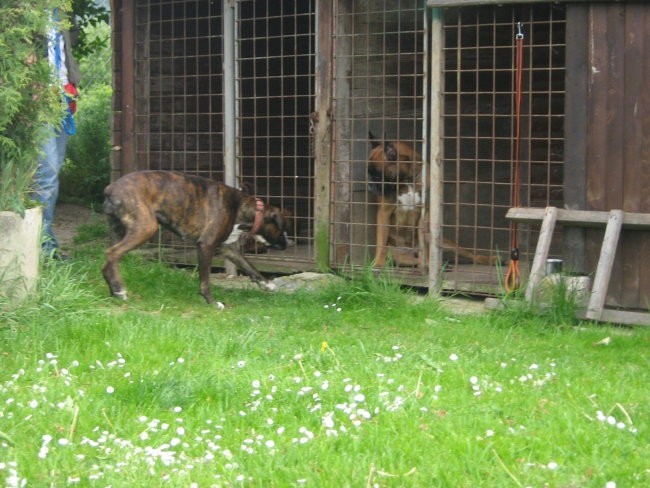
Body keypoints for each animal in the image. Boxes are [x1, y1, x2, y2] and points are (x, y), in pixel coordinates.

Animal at [102, 172, 288, 308]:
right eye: (283, 229)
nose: (289, 243)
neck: (241, 207)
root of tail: (111, 188)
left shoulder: (227, 248)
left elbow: (249, 266)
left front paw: (267, 284)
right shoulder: (206, 245)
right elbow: (205, 280)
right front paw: (211, 302)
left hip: (121, 231)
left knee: (108, 262)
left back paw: (114, 291)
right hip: (145, 228)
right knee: (112, 253)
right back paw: (119, 289)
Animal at [364, 132, 496, 266]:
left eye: (376, 176)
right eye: (370, 174)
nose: (369, 184)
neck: (407, 181)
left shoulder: (424, 215)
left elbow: (425, 243)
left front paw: (428, 262)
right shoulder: (384, 213)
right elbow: (381, 243)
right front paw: (378, 263)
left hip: (445, 242)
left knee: (468, 253)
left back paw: (488, 259)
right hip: (398, 255)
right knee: (414, 259)